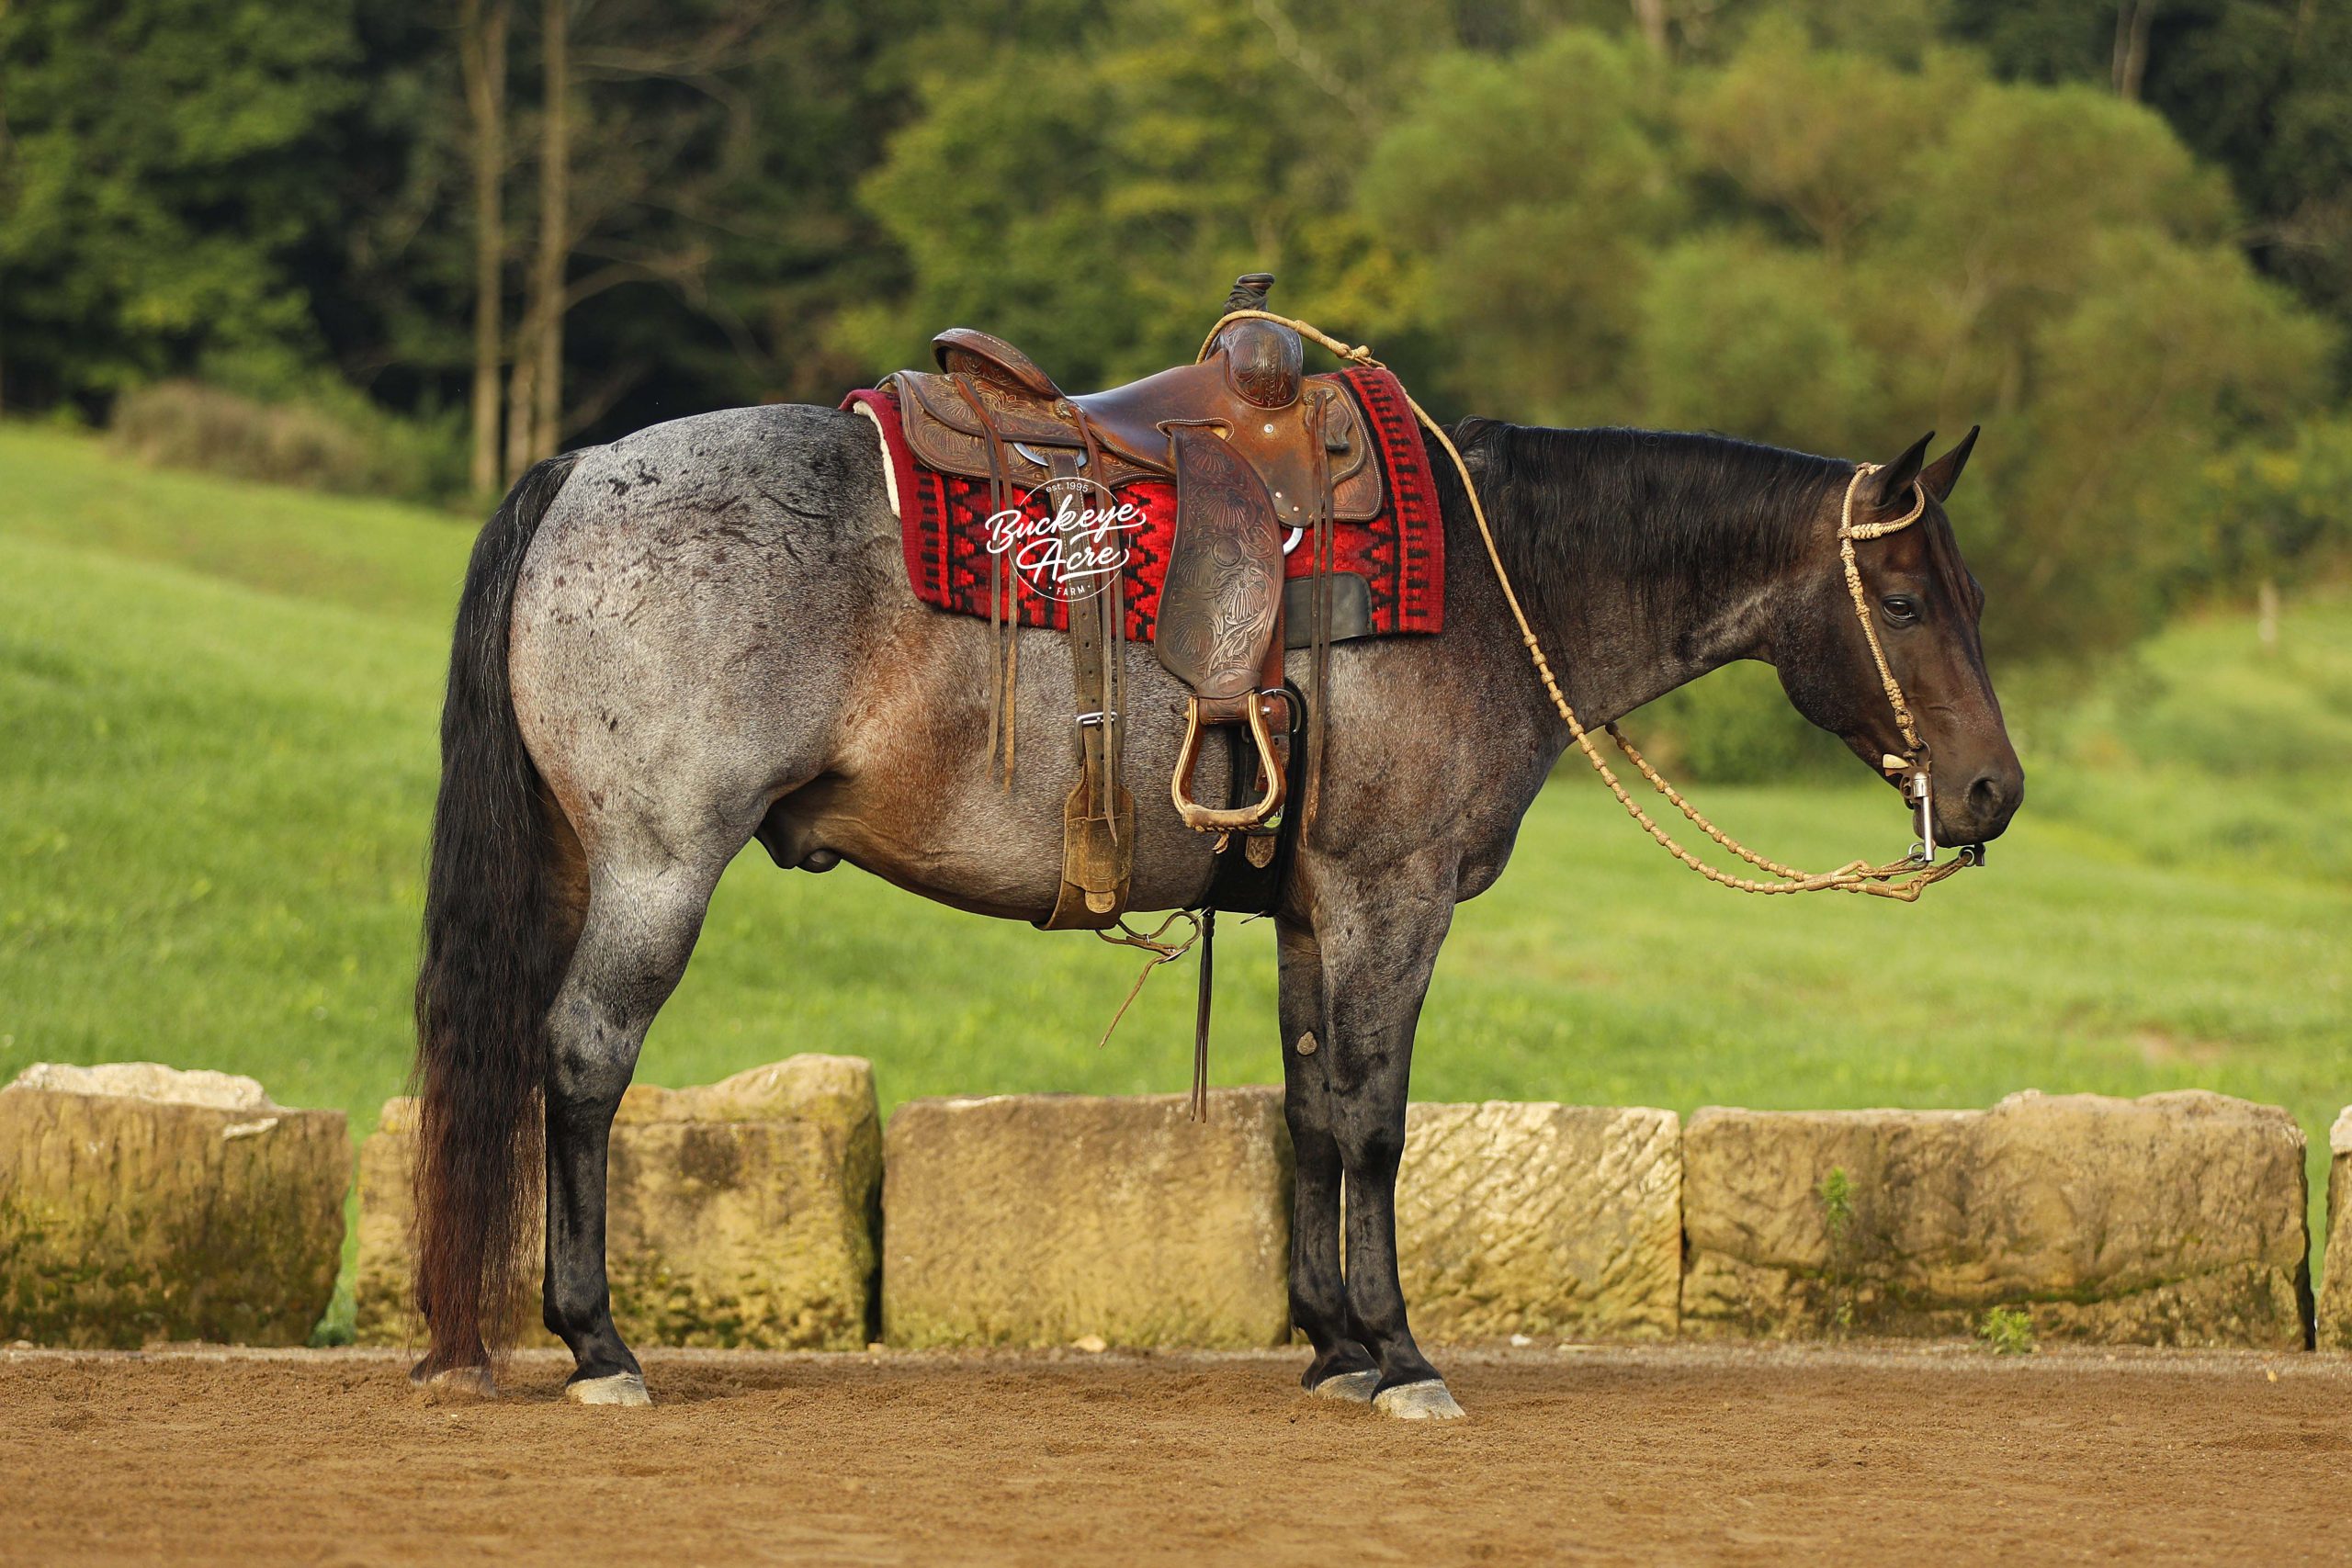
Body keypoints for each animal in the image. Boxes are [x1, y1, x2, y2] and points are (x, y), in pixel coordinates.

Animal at [408, 404, 2023, 1417]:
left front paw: (1335, 1345)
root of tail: (581, 470)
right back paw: (598, 1340)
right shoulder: (1390, 896)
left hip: (579, 863)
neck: (1488, 581)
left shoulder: (1310, 910)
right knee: (583, 1058)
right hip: (658, 861)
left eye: (1972, 595)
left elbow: (1309, 1108)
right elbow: (1375, 1118)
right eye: (1911, 602)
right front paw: (1403, 1351)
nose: (1993, 789)